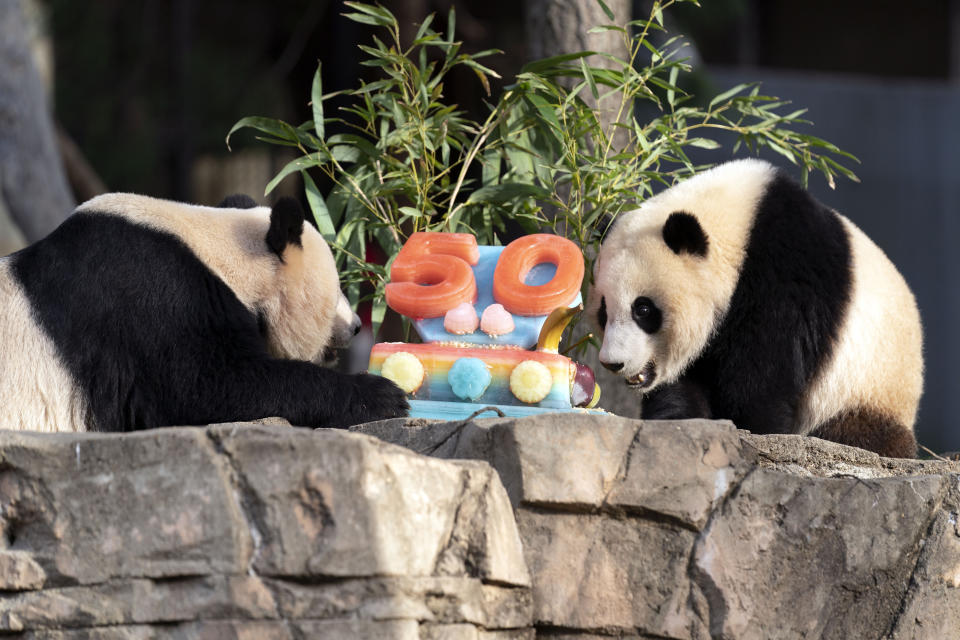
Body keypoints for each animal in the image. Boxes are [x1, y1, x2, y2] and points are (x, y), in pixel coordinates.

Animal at [588, 160, 928, 460]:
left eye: (643, 310)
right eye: (604, 311)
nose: (612, 363)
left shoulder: (781, 279)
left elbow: (763, 376)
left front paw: (751, 430)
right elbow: (687, 381)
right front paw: (680, 422)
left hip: (866, 388)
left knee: (857, 432)